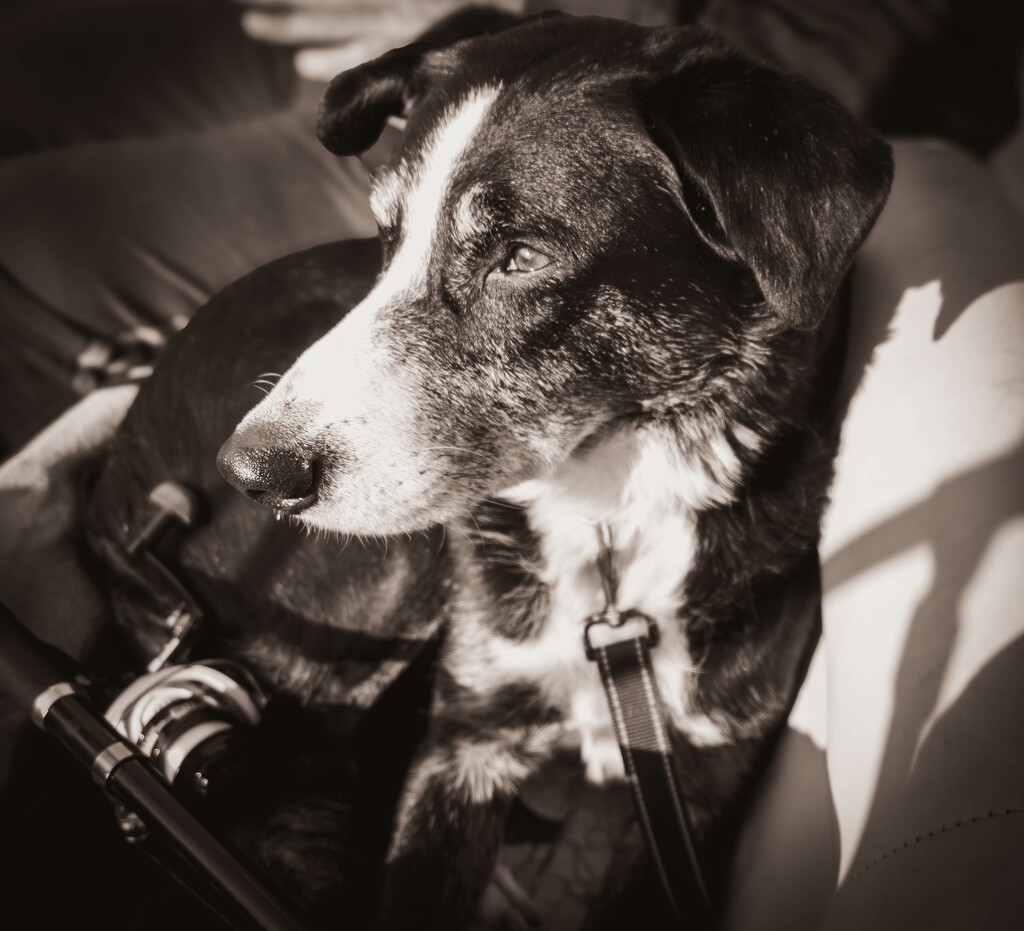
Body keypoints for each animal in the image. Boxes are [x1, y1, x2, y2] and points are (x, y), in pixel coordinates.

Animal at [214, 14, 888, 929]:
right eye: (388, 238)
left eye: (521, 256)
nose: (248, 467)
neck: (609, 525)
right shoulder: (467, 736)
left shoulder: (695, 781)